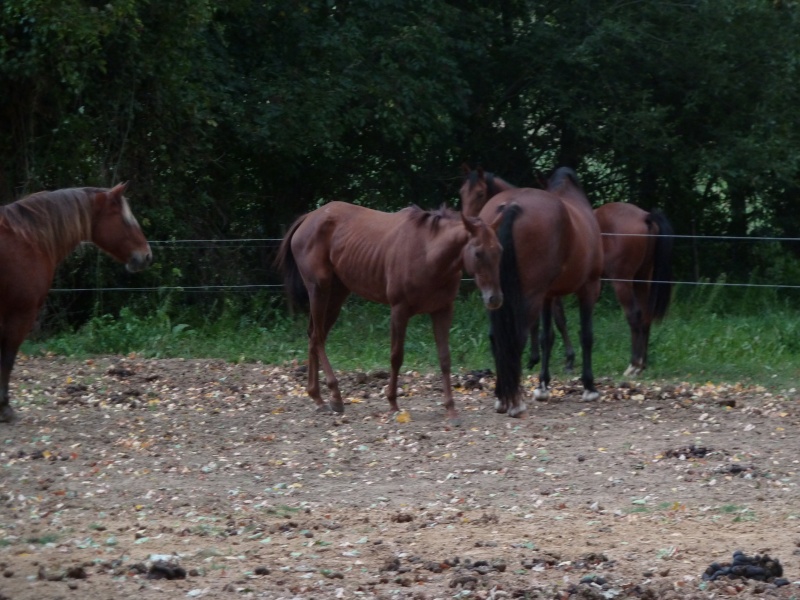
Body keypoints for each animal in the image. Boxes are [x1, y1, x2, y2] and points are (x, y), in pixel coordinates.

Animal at [0, 183, 152, 422]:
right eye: (126, 220)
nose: (147, 256)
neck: (27, 239)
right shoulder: (20, 313)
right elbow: (7, 359)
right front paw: (5, 408)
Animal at [276, 199, 500, 424]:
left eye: (499, 249)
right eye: (478, 253)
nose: (495, 299)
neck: (428, 253)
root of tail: (309, 218)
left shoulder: (443, 310)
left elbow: (445, 358)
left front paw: (451, 409)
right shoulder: (399, 310)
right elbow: (396, 356)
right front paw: (392, 403)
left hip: (336, 295)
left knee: (313, 336)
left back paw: (317, 397)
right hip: (319, 290)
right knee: (318, 337)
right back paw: (335, 396)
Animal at [460, 165, 604, 418]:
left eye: (479, 193)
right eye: (462, 193)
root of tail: (511, 205)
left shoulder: (548, 294)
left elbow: (548, 335)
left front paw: (543, 385)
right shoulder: (589, 287)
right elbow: (586, 335)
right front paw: (589, 386)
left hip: (495, 297)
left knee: (497, 338)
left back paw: (502, 396)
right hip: (530, 295)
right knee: (517, 337)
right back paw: (513, 402)